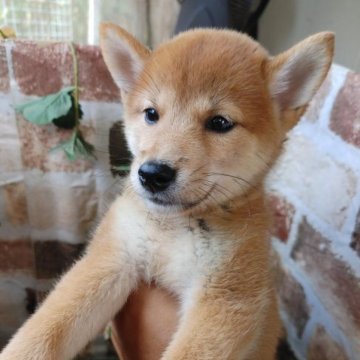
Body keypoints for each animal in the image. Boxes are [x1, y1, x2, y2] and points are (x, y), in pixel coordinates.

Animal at [0, 23, 334, 358]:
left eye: (220, 122)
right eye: (151, 114)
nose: (152, 174)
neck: (172, 228)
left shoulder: (226, 297)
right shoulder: (112, 257)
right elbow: (46, 330)